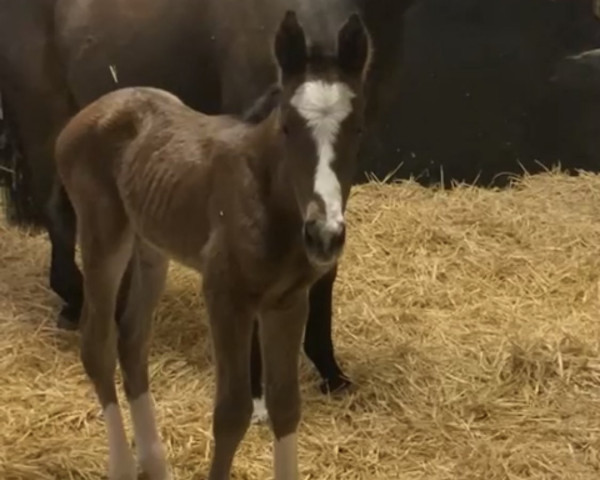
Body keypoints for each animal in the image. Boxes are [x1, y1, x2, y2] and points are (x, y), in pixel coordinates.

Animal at [0, 0, 412, 404]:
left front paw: (330, 372)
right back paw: (78, 303)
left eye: (357, 128)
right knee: (59, 215)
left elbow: (324, 270)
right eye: (285, 126)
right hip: (47, 120)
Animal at [55, 8, 370, 480]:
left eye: (356, 128)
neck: (267, 199)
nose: (324, 234)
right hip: (103, 236)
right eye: (286, 126)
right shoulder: (226, 296)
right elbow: (232, 412)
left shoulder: (287, 302)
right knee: (97, 344)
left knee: (132, 340)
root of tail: (82, 117)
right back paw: (124, 465)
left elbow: (286, 406)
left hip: (151, 248)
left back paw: (155, 462)